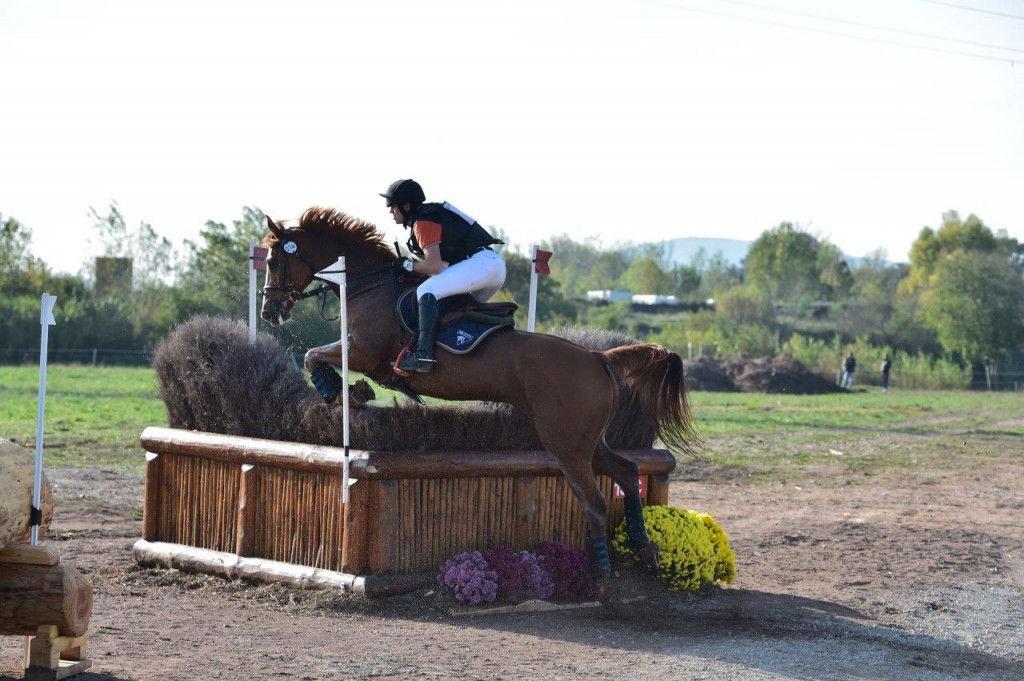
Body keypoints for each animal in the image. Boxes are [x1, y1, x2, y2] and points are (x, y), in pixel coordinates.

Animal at [260, 204, 700, 585]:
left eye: (273, 260)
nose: (270, 312)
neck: (368, 285)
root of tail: (597, 357)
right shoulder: (366, 356)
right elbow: (326, 361)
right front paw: (355, 391)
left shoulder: (364, 349)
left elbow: (312, 354)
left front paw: (339, 391)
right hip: (588, 440)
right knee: (626, 472)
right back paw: (645, 549)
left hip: (566, 444)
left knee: (595, 502)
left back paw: (601, 574)